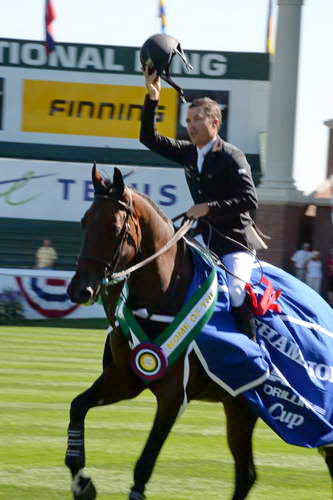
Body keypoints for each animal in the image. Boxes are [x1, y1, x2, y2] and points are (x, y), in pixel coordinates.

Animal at [65, 166, 332, 498]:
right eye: (85, 221)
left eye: (115, 228)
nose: (79, 289)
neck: (164, 295)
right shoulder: (125, 379)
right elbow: (78, 407)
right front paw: (82, 482)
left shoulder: (172, 397)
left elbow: (143, 467)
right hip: (241, 409)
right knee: (246, 475)